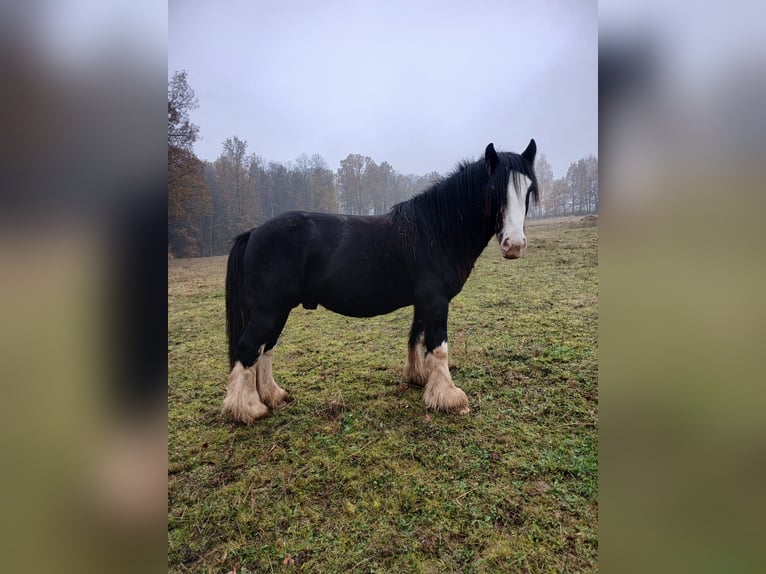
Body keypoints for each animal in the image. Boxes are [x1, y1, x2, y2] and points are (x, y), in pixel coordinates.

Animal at [224, 141, 540, 424]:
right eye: (494, 190)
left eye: (528, 190)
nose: (514, 245)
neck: (436, 231)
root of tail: (254, 232)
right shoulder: (436, 301)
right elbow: (439, 347)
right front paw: (450, 398)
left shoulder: (424, 302)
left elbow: (417, 337)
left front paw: (419, 378)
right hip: (269, 311)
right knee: (248, 349)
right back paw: (248, 409)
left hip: (278, 311)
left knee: (265, 350)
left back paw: (273, 396)